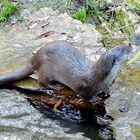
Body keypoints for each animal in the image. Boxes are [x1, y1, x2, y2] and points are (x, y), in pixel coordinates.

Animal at [0, 40, 132, 99]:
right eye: (122, 49)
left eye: (121, 46)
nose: (130, 45)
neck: (99, 79)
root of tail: (35, 58)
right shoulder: (83, 87)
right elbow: (84, 95)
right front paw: (95, 98)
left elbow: (106, 89)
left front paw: (108, 92)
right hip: (45, 68)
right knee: (41, 82)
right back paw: (55, 86)